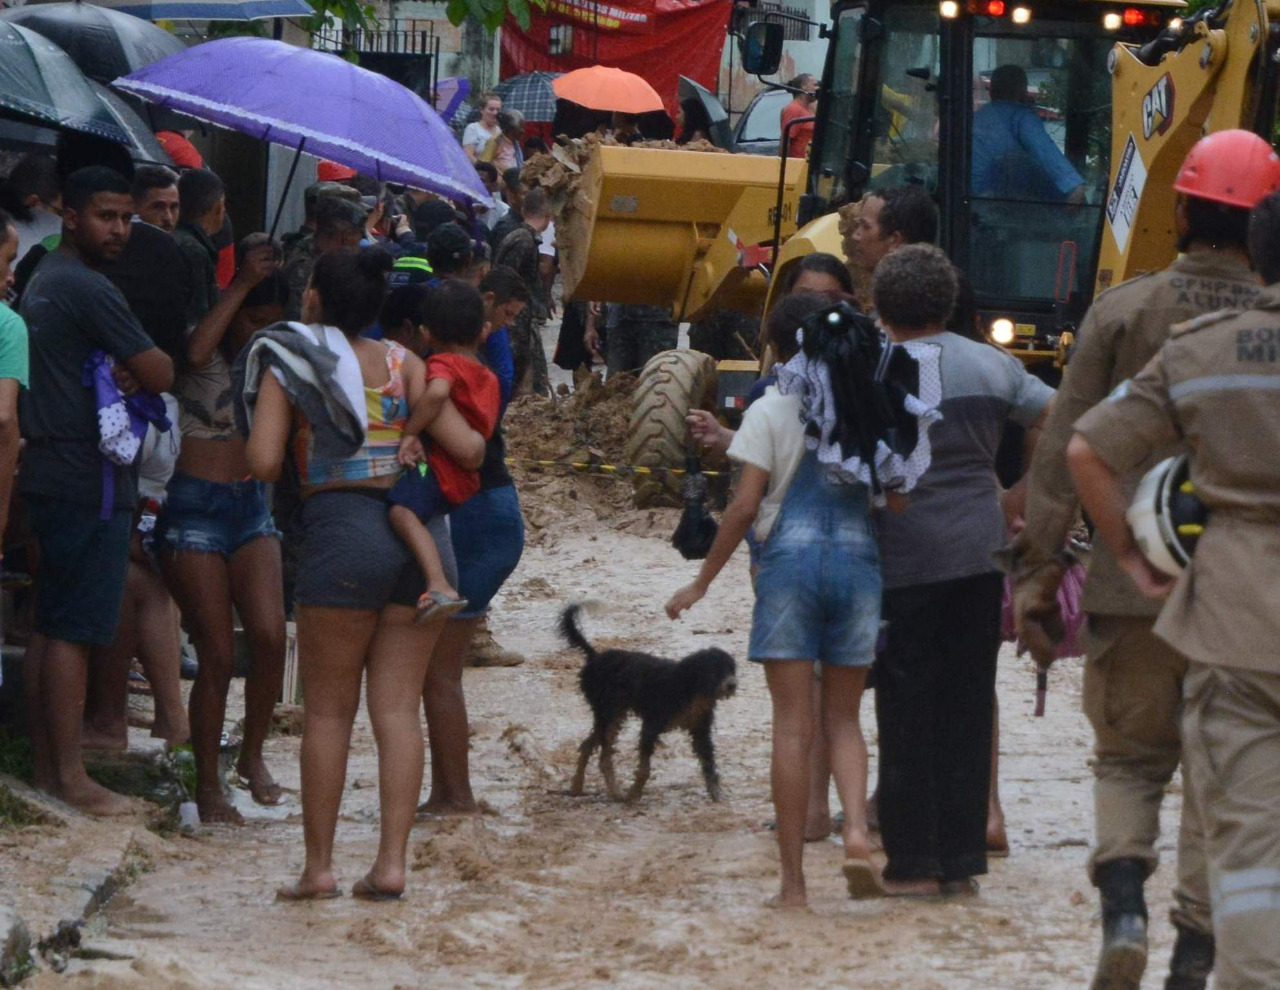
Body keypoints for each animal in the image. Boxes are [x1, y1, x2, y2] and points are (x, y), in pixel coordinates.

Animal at [563, 601, 742, 804]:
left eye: (731, 668)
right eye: (714, 670)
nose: (732, 685)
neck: (691, 689)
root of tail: (595, 656)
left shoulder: (700, 731)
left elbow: (709, 765)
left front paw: (716, 794)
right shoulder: (650, 727)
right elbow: (644, 768)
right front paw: (634, 794)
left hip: (612, 716)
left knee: (588, 746)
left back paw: (579, 787)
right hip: (607, 715)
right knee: (603, 757)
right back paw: (613, 792)